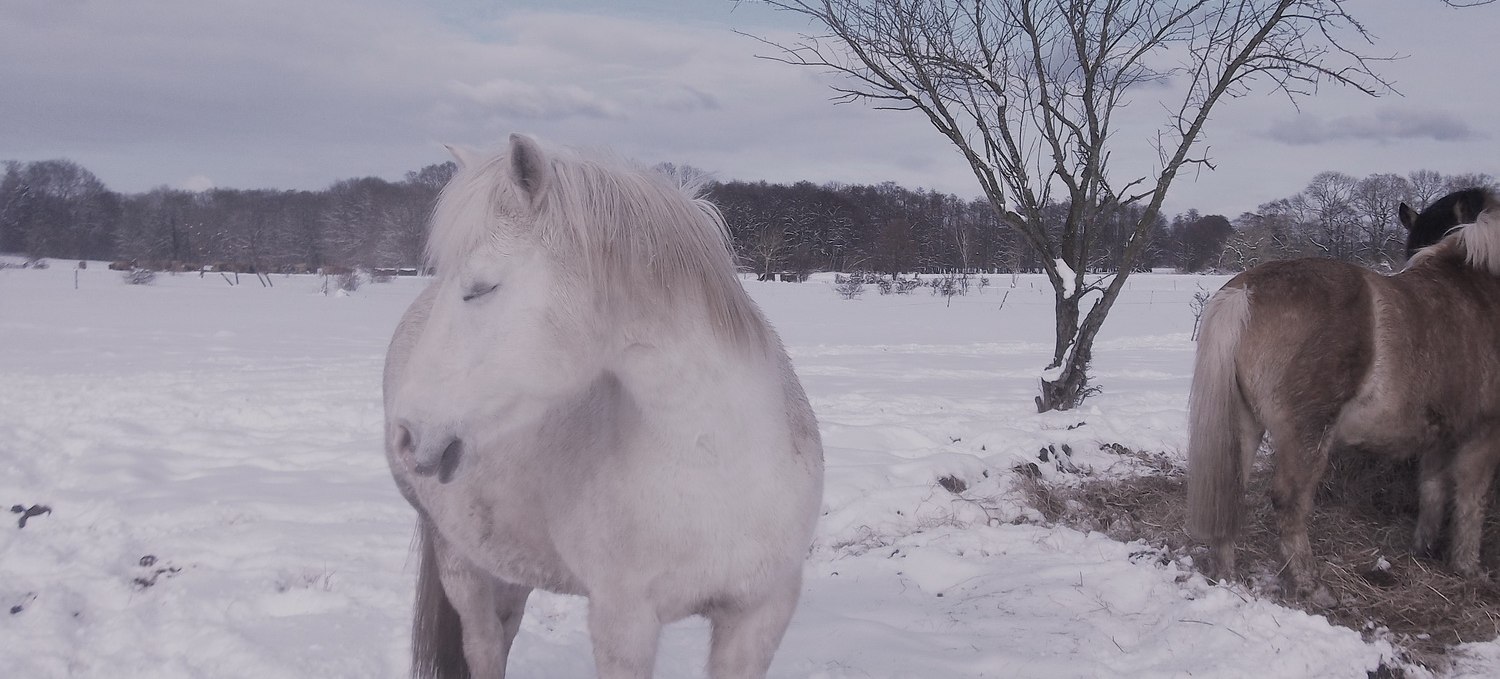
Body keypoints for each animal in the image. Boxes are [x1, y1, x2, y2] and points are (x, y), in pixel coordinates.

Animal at [381, 133, 828, 677]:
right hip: (459, 559)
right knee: (484, 646)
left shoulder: (760, 614)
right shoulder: (623, 621)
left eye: (481, 287)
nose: (405, 434)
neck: (721, 464)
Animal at [1188, 191, 1494, 593]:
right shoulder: (1482, 433)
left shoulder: (1440, 435)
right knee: (1290, 499)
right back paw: (1309, 584)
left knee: (1230, 493)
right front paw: (1467, 567)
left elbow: (1432, 490)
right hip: (1307, 433)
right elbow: (1471, 500)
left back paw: (1227, 577)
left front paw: (1423, 549)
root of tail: (1245, 291)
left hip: (1244, 424)